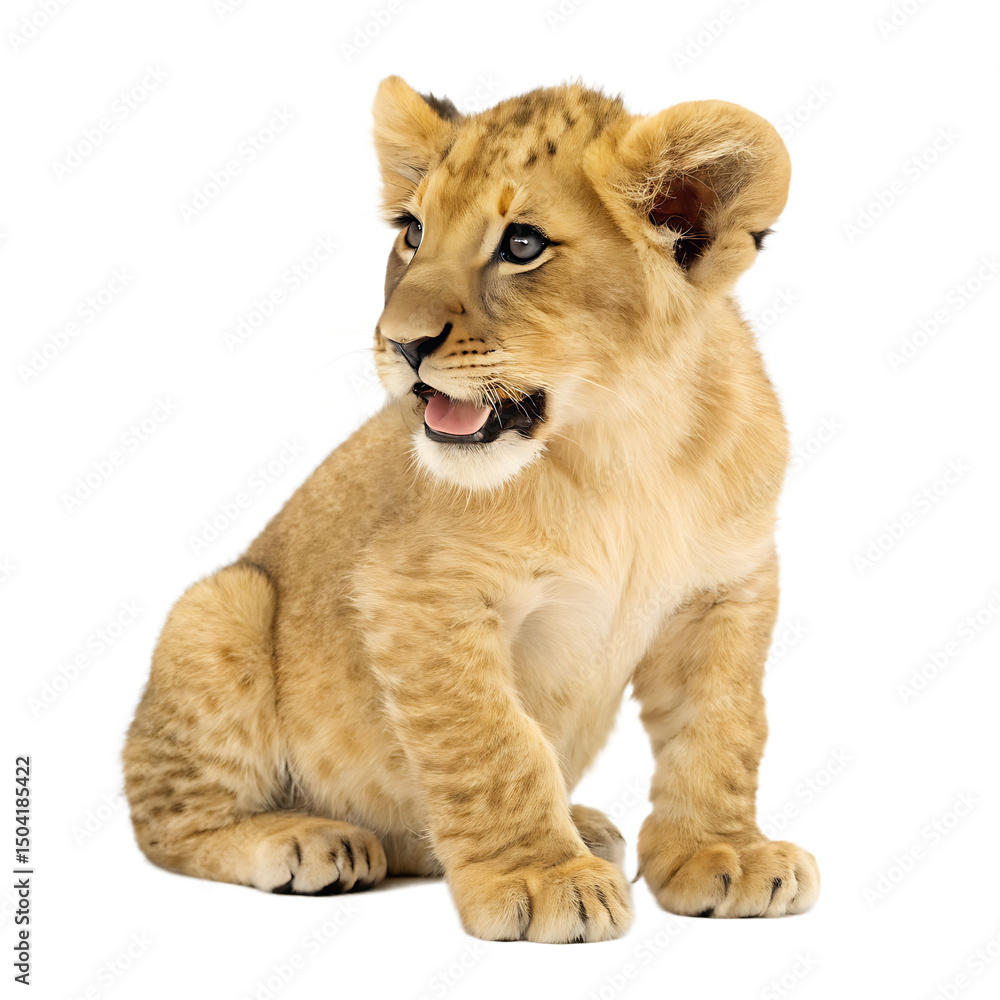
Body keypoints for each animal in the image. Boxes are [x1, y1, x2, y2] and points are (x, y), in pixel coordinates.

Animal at [122, 76, 819, 943]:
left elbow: (721, 728)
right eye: (413, 232)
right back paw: (310, 839)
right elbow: (490, 742)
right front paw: (542, 878)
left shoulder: (727, 590)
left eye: (522, 246)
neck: (623, 447)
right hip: (221, 605)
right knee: (169, 823)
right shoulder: (417, 591)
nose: (399, 343)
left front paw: (724, 855)